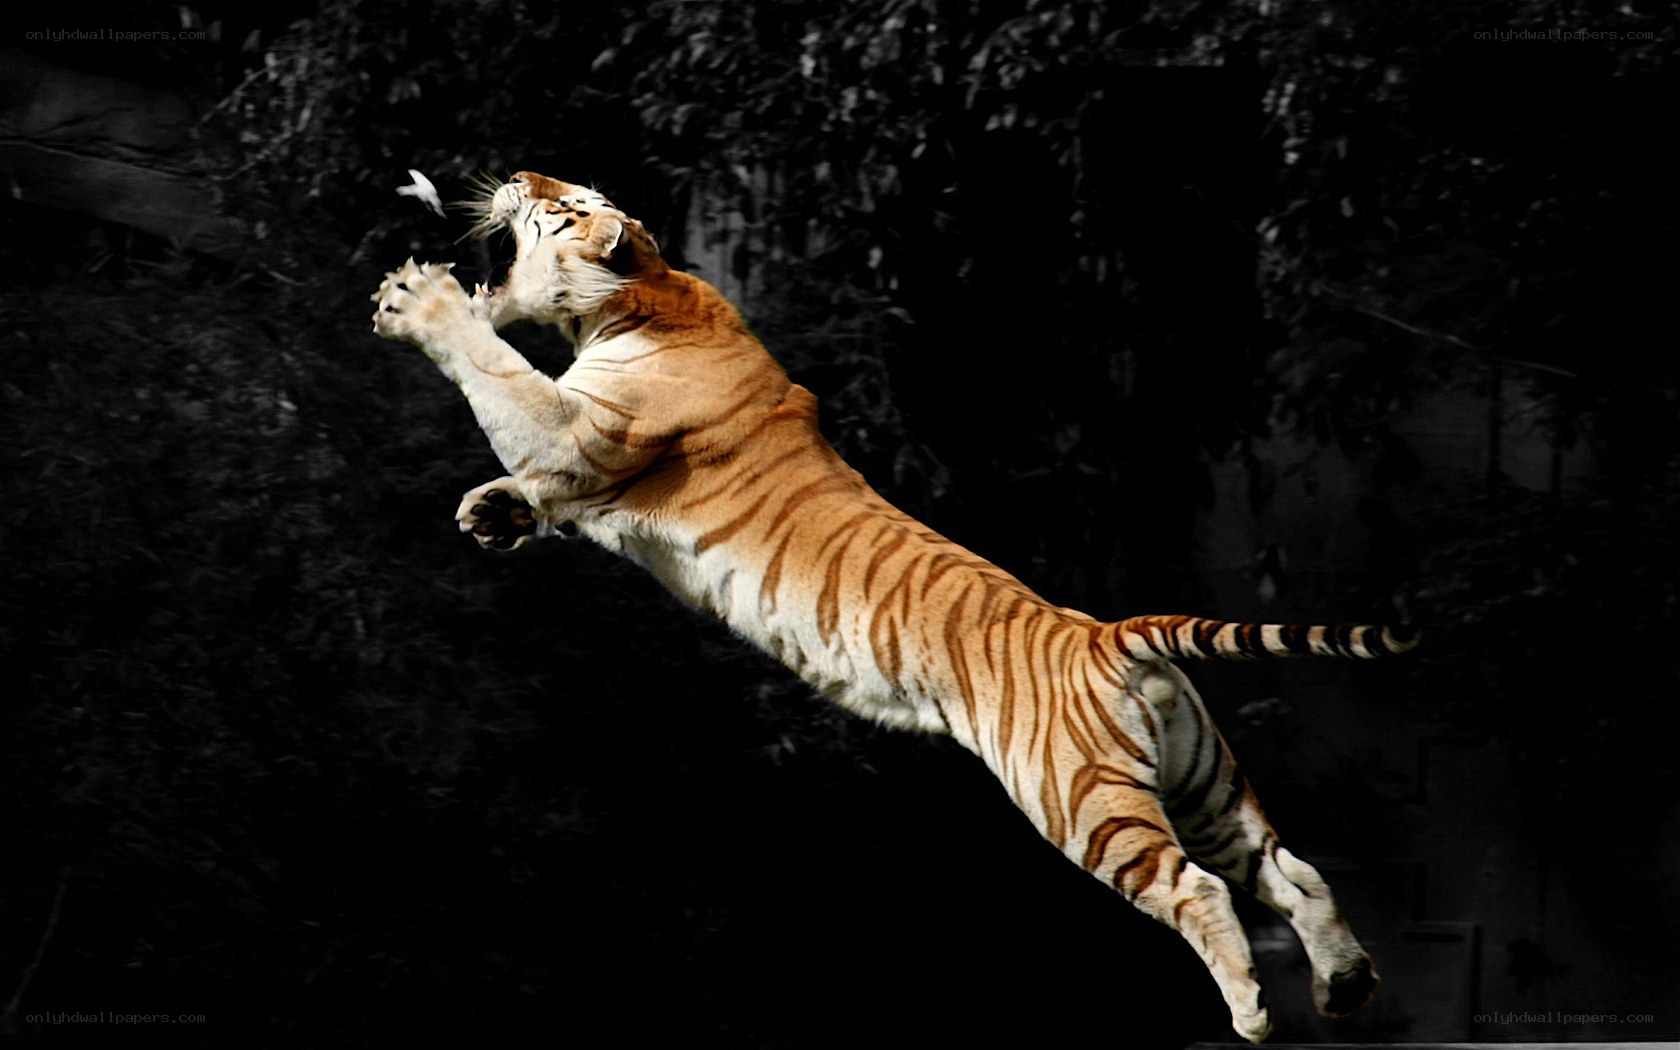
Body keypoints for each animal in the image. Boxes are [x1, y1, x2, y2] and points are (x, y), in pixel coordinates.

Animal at [370, 170, 1418, 1043]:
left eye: (562, 198)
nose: (518, 170)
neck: (635, 299)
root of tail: (1104, 632)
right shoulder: (575, 461)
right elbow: (526, 469)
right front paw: (490, 512)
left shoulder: (579, 432)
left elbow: (498, 373)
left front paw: (418, 301)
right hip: (1204, 782)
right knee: (1294, 870)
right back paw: (1347, 986)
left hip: (1083, 799)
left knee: (1200, 892)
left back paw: (1253, 1013)